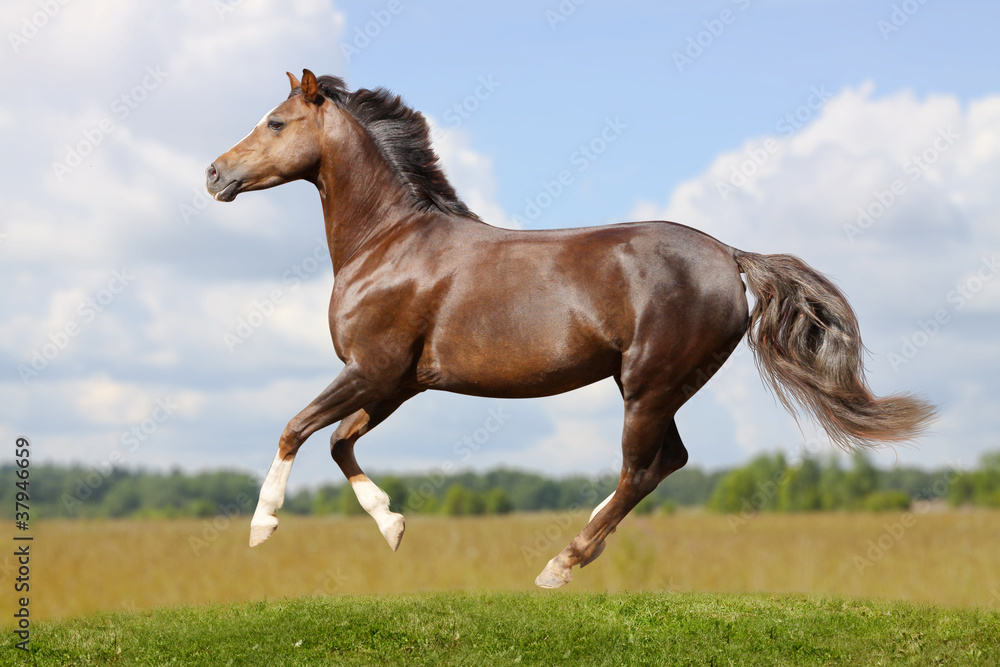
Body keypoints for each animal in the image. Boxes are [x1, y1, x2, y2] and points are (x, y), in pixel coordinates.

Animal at [206, 69, 935, 588]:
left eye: (275, 121)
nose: (215, 173)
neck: (388, 244)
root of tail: (730, 256)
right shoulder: (399, 381)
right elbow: (339, 441)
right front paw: (393, 527)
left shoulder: (371, 368)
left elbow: (297, 426)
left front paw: (262, 527)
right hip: (650, 385)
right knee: (664, 464)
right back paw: (584, 541)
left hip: (648, 384)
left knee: (644, 468)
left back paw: (560, 564)